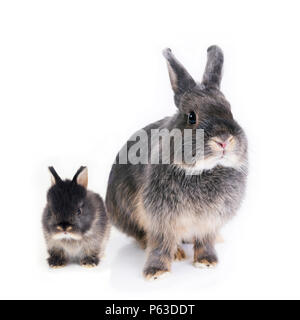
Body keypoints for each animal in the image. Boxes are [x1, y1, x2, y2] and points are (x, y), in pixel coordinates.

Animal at [106, 45, 248, 280]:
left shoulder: (209, 222)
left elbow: (205, 240)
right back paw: (177, 252)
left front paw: (207, 262)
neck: (202, 171)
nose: (224, 140)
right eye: (191, 117)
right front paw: (156, 272)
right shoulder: (161, 219)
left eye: (230, 110)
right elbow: (160, 244)